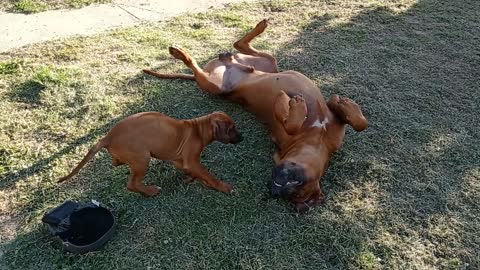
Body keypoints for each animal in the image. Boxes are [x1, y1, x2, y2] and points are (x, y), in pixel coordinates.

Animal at [58, 110, 242, 195]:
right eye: (232, 128)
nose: (242, 137)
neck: (198, 129)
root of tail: (107, 137)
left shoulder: (178, 159)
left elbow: (194, 172)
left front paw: (194, 178)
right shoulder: (192, 160)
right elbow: (208, 174)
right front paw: (223, 187)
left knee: (115, 163)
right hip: (142, 159)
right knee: (131, 184)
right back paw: (150, 191)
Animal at [142, 19, 368, 213]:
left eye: (293, 189)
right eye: (296, 181)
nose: (276, 186)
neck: (316, 139)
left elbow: (288, 121)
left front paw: (289, 103)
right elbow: (359, 123)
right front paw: (344, 104)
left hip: (217, 83)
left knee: (215, 59)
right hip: (267, 64)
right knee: (233, 48)